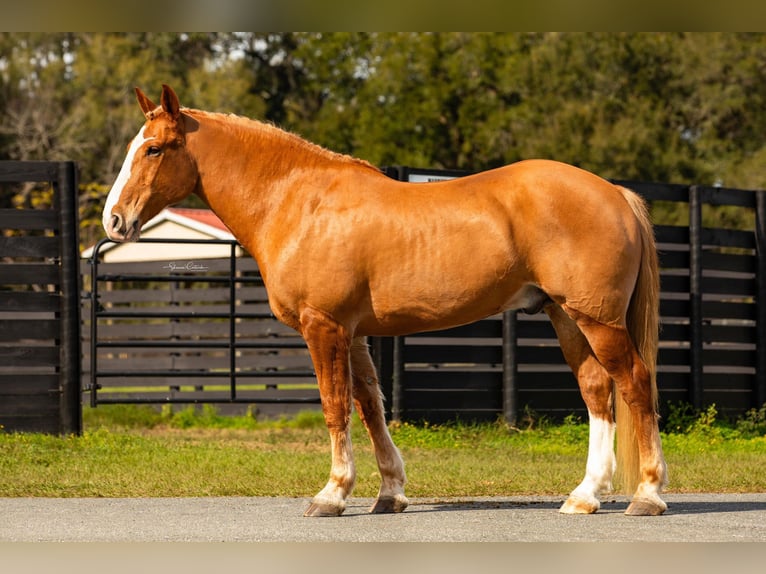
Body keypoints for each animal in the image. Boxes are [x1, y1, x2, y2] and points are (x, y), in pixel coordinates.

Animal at [103, 84, 672, 516]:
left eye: (154, 149)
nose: (114, 220)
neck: (299, 202)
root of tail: (615, 193)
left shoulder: (324, 327)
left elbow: (335, 407)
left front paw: (332, 494)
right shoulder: (353, 335)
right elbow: (369, 405)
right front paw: (390, 492)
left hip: (596, 321)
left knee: (635, 383)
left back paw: (647, 494)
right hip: (566, 317)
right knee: (597, 391)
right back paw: (585, 495)